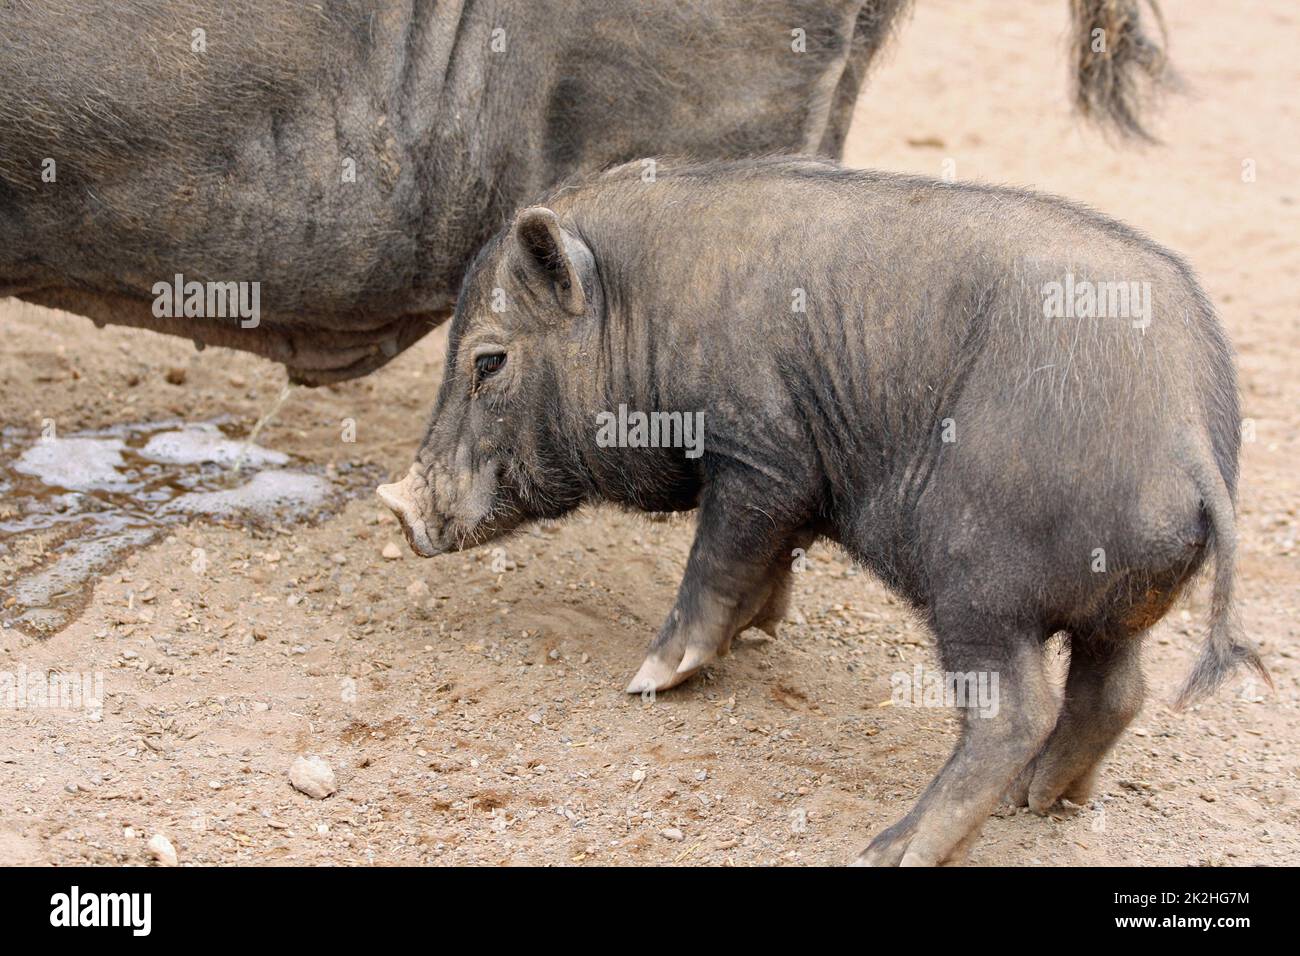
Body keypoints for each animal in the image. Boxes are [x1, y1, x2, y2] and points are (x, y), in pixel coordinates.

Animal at [377, 156, 1267, 865]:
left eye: (489, 360)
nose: (401, 512)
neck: (646, 306)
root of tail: (1189, 435)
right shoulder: (800, 484)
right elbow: (769, 565)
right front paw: (757, 633)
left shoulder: (760, 454)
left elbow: (715, 563)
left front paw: (647, 680)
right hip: (1121, 601)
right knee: (1116, 692)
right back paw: (1044, 800)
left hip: (978, 581)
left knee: (1015, 711)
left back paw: (891, 850)